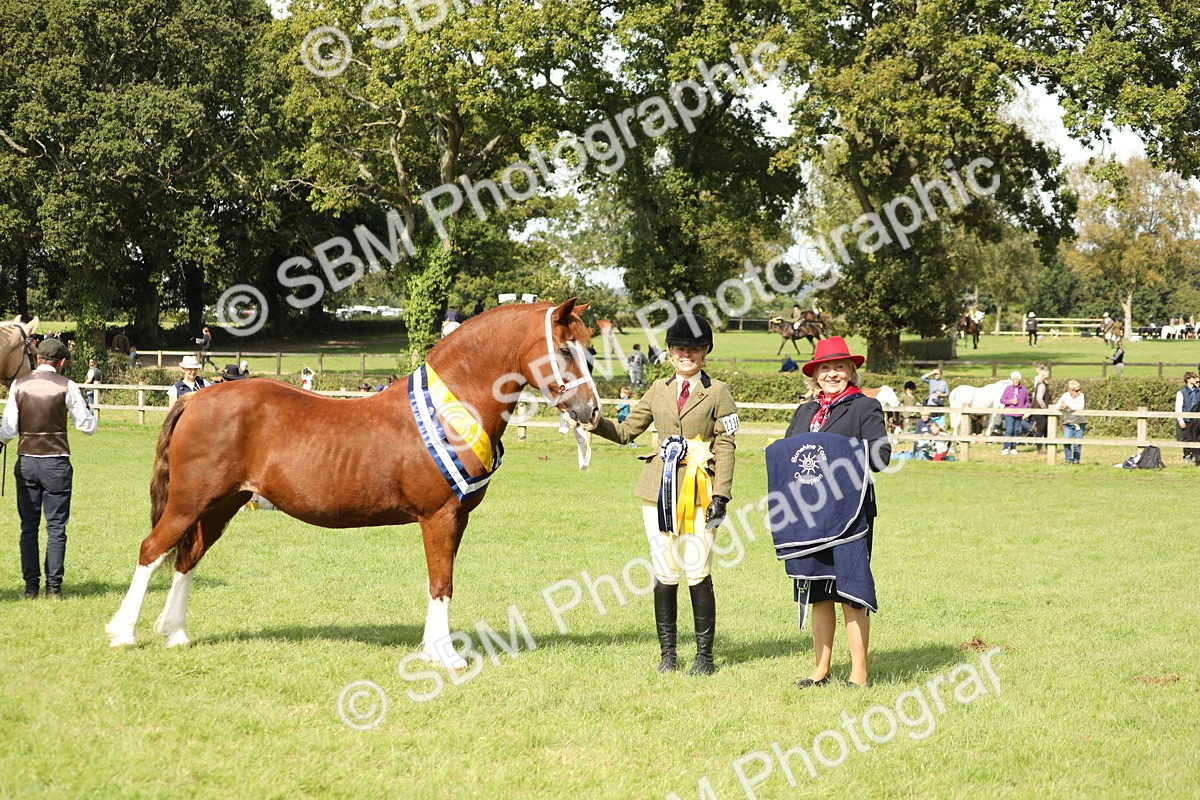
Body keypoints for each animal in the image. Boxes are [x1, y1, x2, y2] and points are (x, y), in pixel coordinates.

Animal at [106, 300, 601, 669]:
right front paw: (445, 657)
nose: (591, 411)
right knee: (153, 551)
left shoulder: (457, 519)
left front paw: (431, 648)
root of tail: (196, 397)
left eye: (589, 348)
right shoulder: (439, 516)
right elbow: (441, 582)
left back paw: (176, 634)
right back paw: (123, 633)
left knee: (187, 559)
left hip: (222, 505)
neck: (451, 407)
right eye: (564, 349)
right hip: (189, 502)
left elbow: (439, 580)